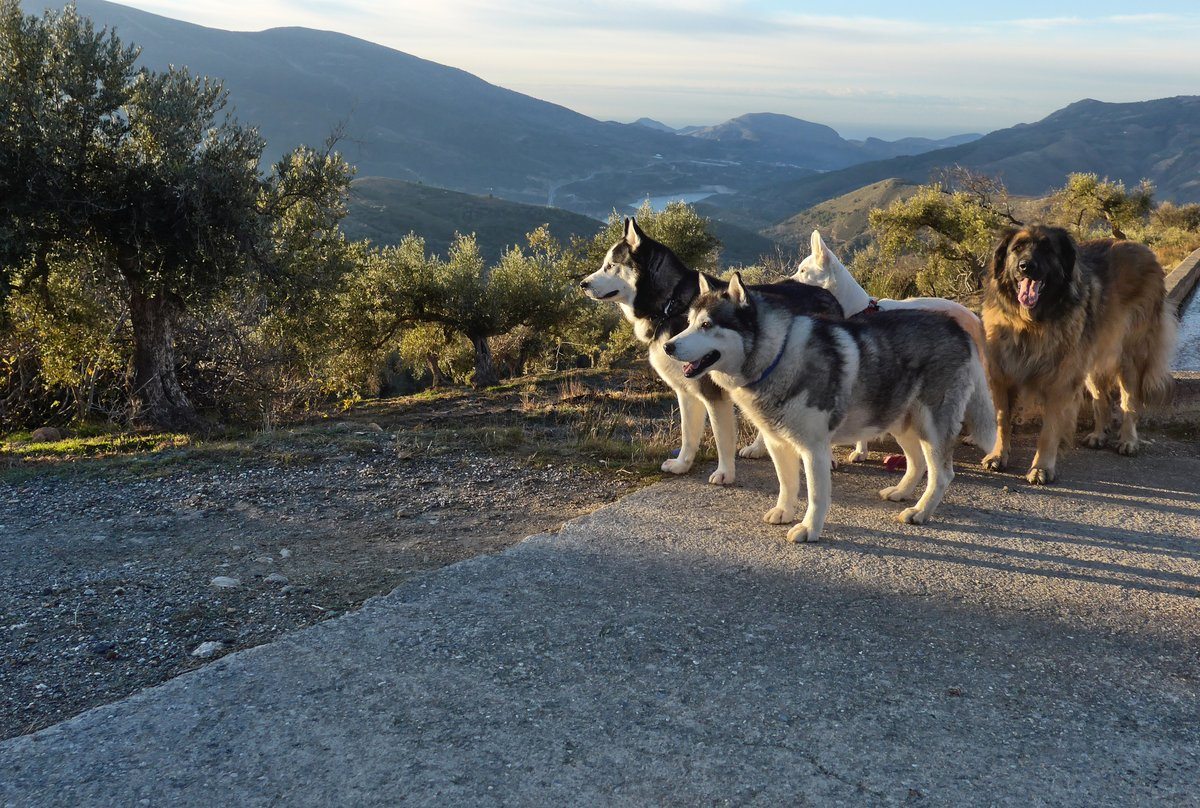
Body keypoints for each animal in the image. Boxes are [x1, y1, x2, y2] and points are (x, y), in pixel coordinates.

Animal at [984, 223, 1171, 482]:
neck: (1031, 324)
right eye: (1017, 248)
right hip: (1089, 361)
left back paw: (1128, 440)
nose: (1026, 266)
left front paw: (1041, 467)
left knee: (1129, 402)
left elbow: (1049, 431)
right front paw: (998, 455)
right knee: (1101, 399)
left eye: (1047, 249)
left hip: (1129, 358)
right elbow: (1002, 420)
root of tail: (1143, 248)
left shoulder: (1060, 382)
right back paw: (1098, 435)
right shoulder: (1001, 374)